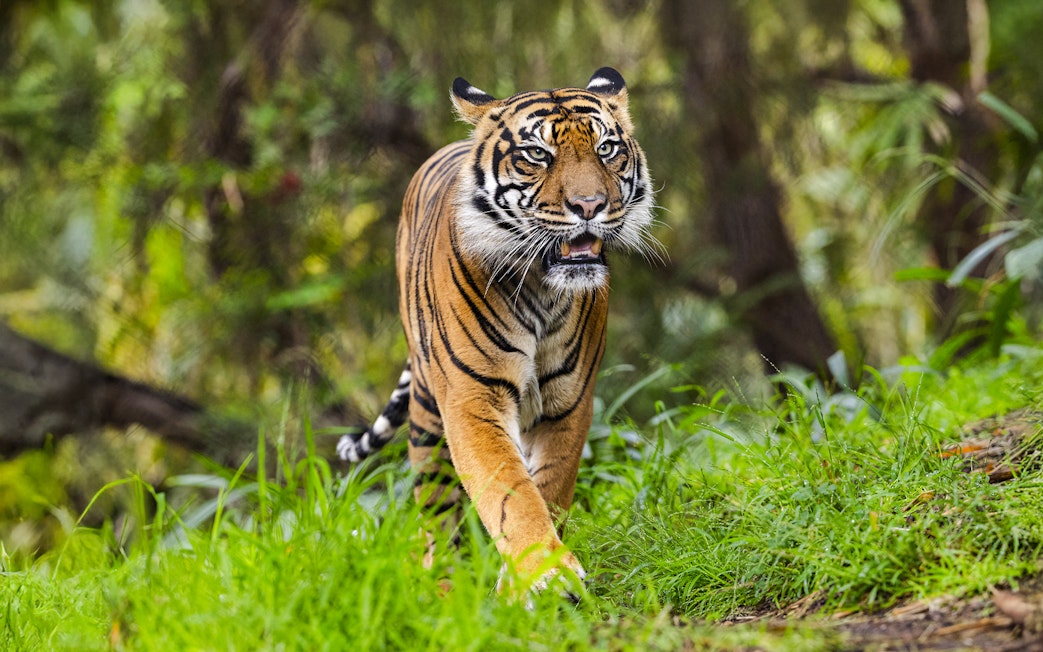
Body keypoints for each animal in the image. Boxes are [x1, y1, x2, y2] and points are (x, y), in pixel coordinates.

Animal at [337, 67, 655, 594]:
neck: (543, 290)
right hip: (427, 416)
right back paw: (444, 587)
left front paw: (528, 581)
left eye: (607, 148)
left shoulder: (569, 401)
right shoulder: (473, 399)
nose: (590, 205)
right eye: (537, 155)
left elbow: (547, 488)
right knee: (437, 511)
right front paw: (545, 575)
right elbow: (509, 491)